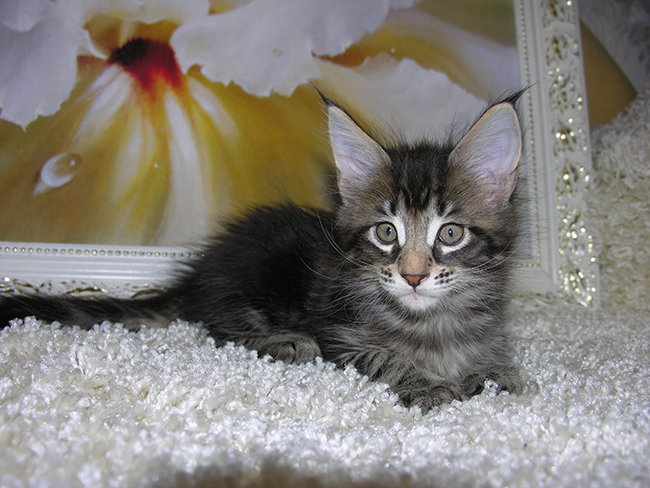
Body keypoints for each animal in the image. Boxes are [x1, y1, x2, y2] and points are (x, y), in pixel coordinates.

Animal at [0, 96, 525, 412]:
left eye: (450, 233)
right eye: (385, 232)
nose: (413, 276)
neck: (434, 323)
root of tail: (202, 273)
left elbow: (494, 350)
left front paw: (494, 371)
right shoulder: (341, 334)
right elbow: (387, 358)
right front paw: (429, 384)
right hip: (257, 279)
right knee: (219, 328)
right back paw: (284, 341)